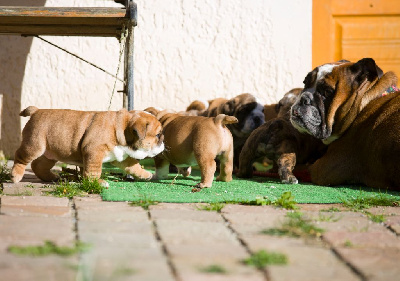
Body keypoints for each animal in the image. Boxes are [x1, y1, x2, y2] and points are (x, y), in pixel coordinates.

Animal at [11, 107, 164, 186]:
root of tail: (36, 111)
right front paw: (96, 182)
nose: (163, 141)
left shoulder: (120, 156)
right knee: (21, 157)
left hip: (50, 153)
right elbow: (94, 170)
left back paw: (51, 177)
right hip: (34, 145)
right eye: (158, 135)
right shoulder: (94, 152)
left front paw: (145, 174)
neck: (121, 128)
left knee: (38, 165)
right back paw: (15, 176)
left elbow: (133, 166)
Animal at [290, 57, 400, 189]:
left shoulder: (320, 169)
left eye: (327, 92)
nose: (303, 98)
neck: (362, 104)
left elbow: (299, 167)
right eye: (305, 83)